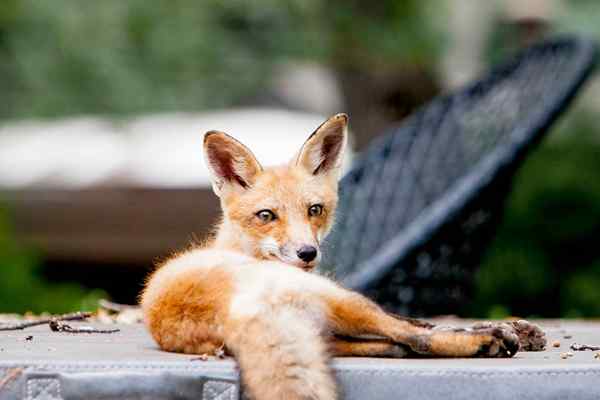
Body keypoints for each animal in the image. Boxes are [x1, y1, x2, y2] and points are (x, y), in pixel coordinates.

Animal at [141, 112, 544, 400]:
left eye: (315, 210)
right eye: (267, 216)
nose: (307, 253)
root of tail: (231, 312)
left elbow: (419, 320)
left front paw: (519, 329)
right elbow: (419, 326)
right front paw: (497, 331)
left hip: (327, 328)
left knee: (396, 344)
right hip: (340, 301)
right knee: (411, 340)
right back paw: (487, 342)